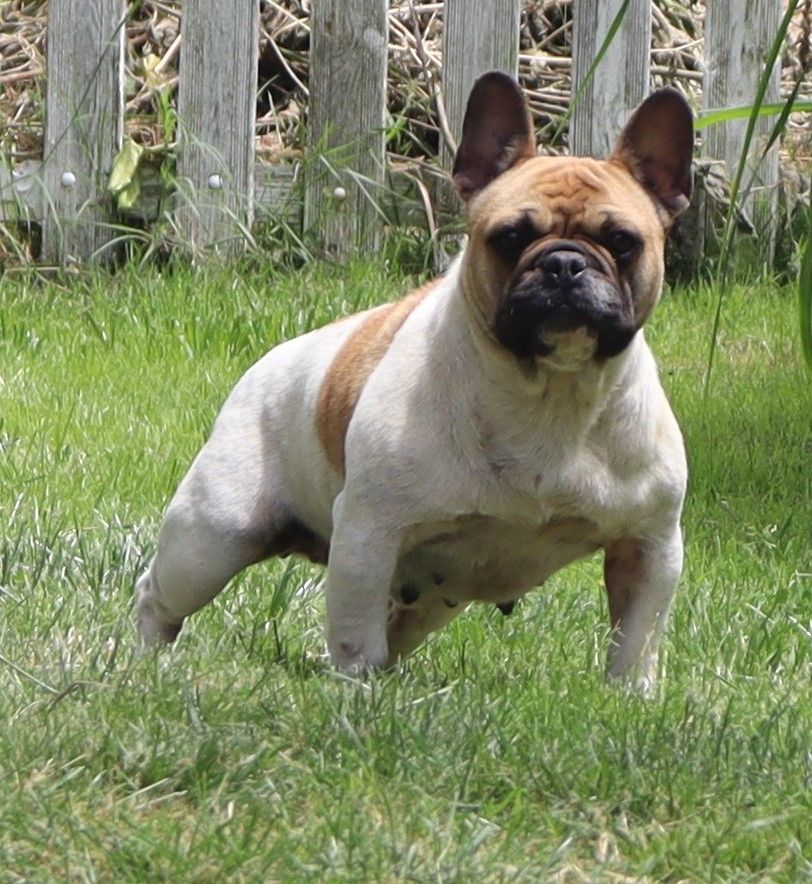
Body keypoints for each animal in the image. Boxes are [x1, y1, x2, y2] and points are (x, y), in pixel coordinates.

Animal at [135, 72, 692, 691]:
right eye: (509, 238)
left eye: (622, 242)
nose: (565, 264)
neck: (552, 394)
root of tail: (265, 365)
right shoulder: (369, 533)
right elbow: (354, 635)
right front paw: (356, 691)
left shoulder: (650, 545)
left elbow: (636, 640)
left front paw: (631, 696)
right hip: (214, 534)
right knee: (159, 594)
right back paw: (146, 660)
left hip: (433, 593)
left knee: (402, 620)